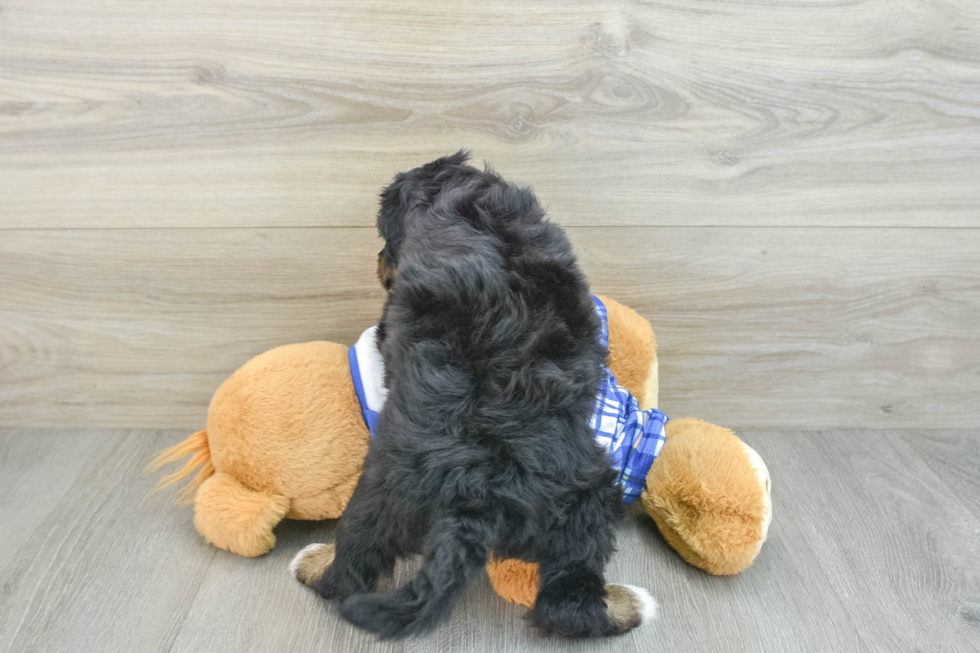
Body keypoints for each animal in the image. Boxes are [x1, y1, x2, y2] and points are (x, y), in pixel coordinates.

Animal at [292, 152, 660, 636]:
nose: (380, 262)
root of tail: (480, 492)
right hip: (586, 499)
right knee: (569, 602)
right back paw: (625, 604)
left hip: (382, 489)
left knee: (355, 562)